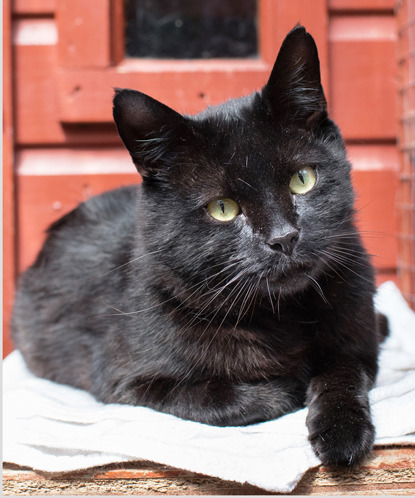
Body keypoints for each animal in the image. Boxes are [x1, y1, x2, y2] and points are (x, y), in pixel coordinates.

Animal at [11, 26, 388, 466]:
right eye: (222, 208)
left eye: (302, 179)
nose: (284, 237)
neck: (281, 315)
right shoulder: (127, 383)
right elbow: (229, 397)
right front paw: (288, 387)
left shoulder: (357, 340)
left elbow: (344, 372)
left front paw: (343, 433)